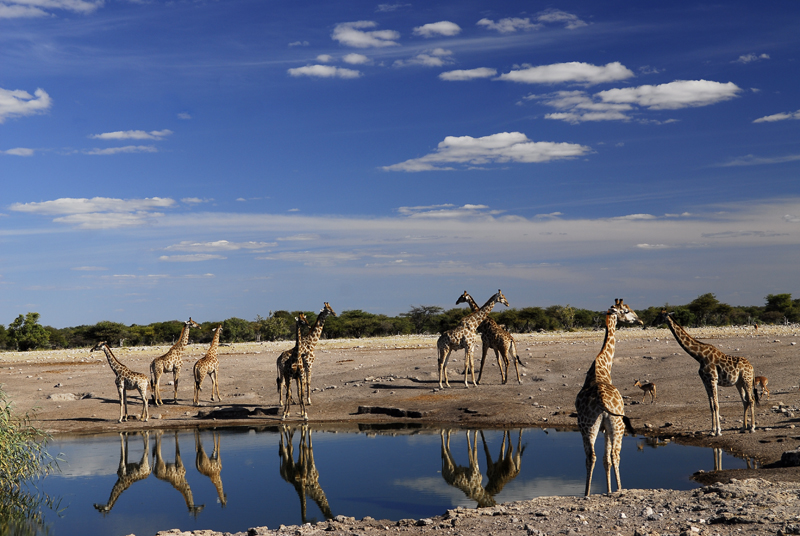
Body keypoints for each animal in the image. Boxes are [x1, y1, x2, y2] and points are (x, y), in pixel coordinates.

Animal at [576, 300, 644, 496]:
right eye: (627, 311)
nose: (640, 320)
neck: (602, 368)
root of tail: (601, 401)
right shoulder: (607, 428)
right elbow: (608, 458)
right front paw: (611, 490)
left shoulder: (602, 427)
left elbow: (604, 460)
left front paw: (607, 490)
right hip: (617, 425)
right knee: (615, 454)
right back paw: (620, 489)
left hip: (587, 426)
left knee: (591, 456)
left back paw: (586, 493)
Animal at [652, 308, 760, 438]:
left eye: (660, 316)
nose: (652, 323)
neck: (699, 356)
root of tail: (752, 367)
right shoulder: (705, 381)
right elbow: (711, 406)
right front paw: (712, 431)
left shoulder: (712, 379)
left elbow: (716, 405)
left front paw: (718, 431)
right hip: (739, 383)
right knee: (745, 401)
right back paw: (743, 428)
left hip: (746, 380)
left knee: (751, 400)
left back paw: (752, 428)